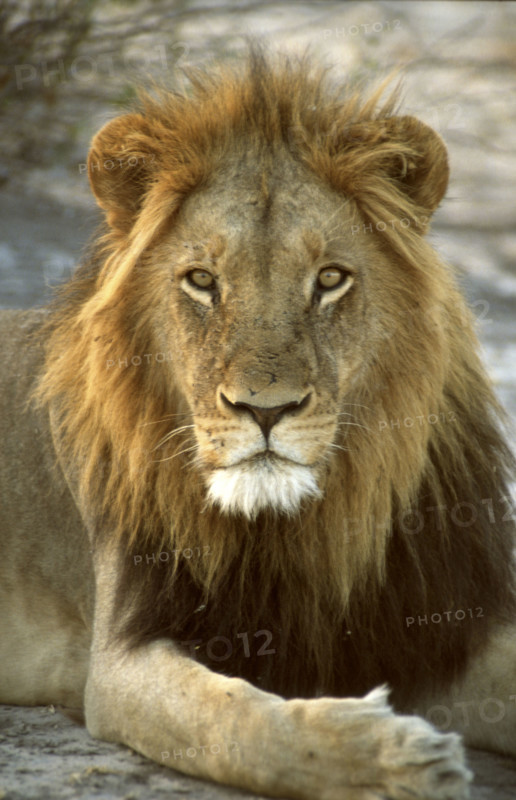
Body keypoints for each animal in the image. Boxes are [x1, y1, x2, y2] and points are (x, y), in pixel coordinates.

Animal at [1, 48, 515, 800]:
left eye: (330, 279)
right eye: (202, 280)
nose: (264, 409)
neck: (300, 530)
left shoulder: (442, 627)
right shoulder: (121, 658)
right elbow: (238, 721)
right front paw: (394, 757)